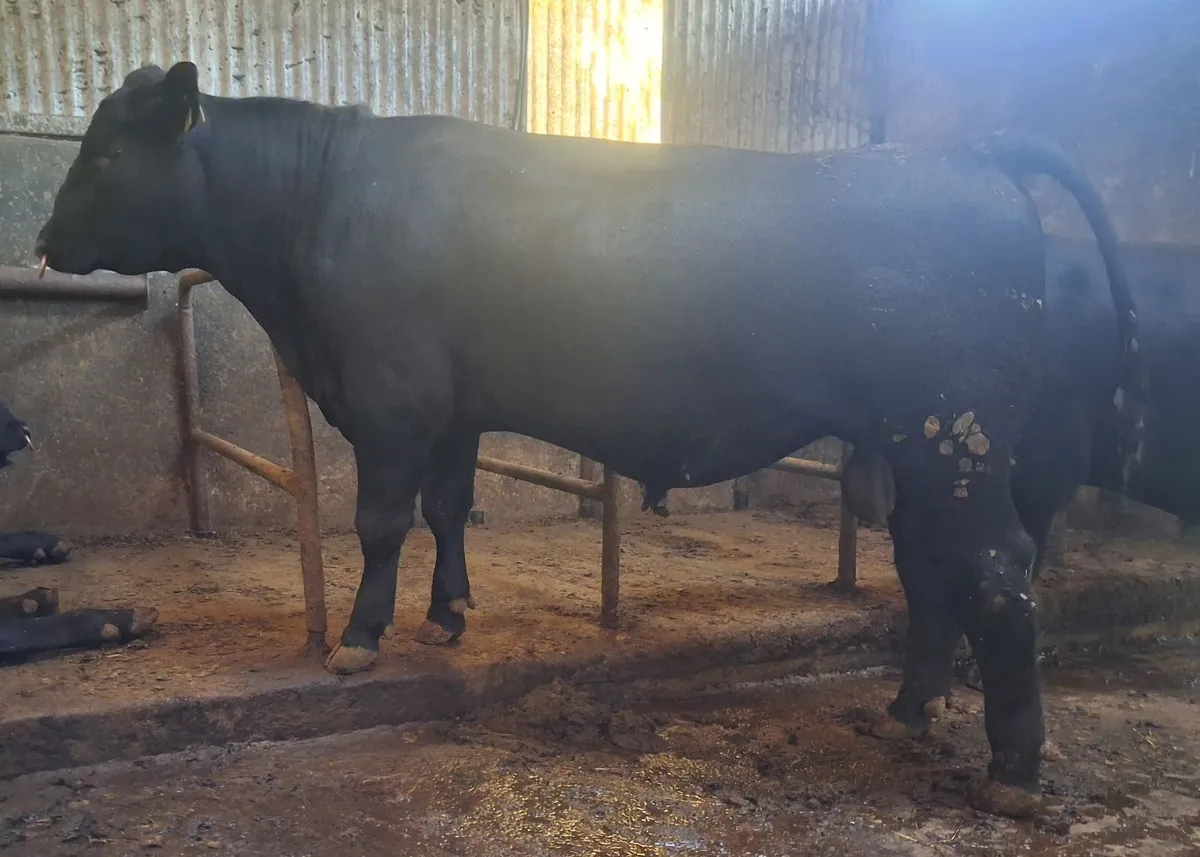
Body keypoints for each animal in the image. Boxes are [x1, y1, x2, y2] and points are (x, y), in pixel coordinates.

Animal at [34, 62, 1143, 817]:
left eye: (104, 151)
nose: (42, 239)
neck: (320, 208)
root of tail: (968, 151)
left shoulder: (391, 402)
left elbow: (381, 519)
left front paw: (358, 637)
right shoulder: (455, 407)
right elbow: (447, 505)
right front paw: (449, 612)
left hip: (959, 442)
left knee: (995, 571)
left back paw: (1013, 768)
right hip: (916, 450)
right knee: (929, 571)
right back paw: (907, 709)